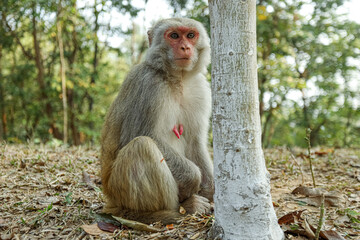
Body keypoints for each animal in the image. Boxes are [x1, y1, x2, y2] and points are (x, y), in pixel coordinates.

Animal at [100, 17, 214, 224]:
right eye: (174, 36)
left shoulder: (201, 89)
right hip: (118, 191)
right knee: (142, 146)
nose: (185, 47)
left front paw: (211, 191)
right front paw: (192, 180)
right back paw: (174, 210)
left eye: (190, 35)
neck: (177, 79)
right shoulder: (148, 85)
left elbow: (195, 142)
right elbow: (137, 134)